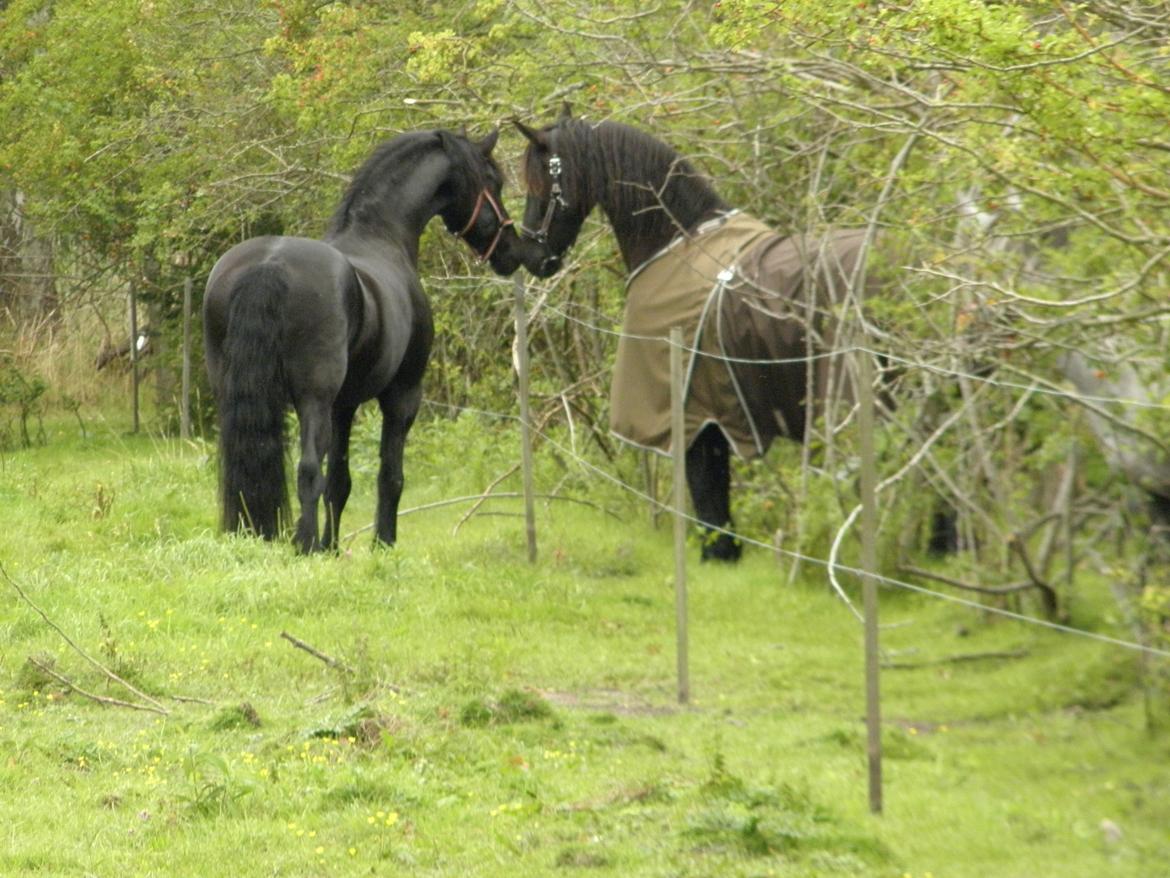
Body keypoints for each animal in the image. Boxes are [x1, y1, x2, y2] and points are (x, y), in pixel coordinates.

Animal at [203, 128, 519, 557]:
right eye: (493, 181)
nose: (513, 250)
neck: (382, 237)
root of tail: (269, 264)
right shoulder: (402, 397)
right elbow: (389, 476)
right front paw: (382, 543)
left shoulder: (345, 404)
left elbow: (340, 482)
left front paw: (332, 548)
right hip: (314, 399)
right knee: (308, 470)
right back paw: (304, 545)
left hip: (233, 389)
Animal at [514, 111, 879, 564]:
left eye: (541, 186)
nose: (531, 257)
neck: (676, 241)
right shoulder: (711, 412)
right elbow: (714, 485)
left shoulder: (690, 412)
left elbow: (705, 488)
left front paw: (716, 553)